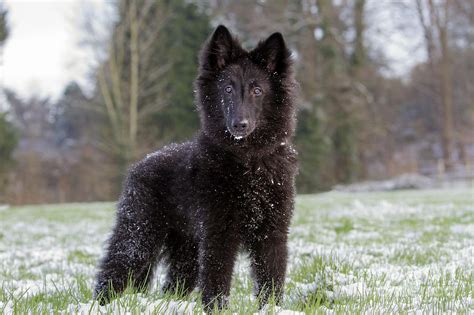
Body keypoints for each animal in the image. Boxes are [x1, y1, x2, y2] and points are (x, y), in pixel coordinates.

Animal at [94, 25, 298, 312]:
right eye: (227, 89)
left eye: (257, 90)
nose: (240, 125)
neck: (248, 162)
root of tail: (143, 161)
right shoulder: (218, 234)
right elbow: (216, 280)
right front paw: (216, 310)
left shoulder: (272, 233)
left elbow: (271, 279)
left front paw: (272, 309)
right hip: (139, 235)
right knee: (114, 269)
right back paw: (102, 304)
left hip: (186, 249)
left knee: (173, 285)